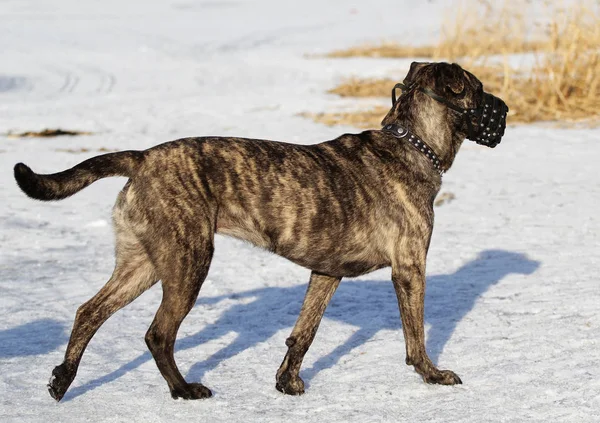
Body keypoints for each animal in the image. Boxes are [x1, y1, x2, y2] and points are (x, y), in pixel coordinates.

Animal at [12, 62, 506, 400]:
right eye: (479, 90)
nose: (505, 108)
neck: (412, 143)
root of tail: (143, 157)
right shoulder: (409, 268)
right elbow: (415, 334)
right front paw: (432, 375)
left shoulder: (326, 274)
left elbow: (303, 332)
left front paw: (287, 382)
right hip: (188, 262)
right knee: (158, 333)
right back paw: (183, 389)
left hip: (144, 263)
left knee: (89, 311)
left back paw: (62, 380)